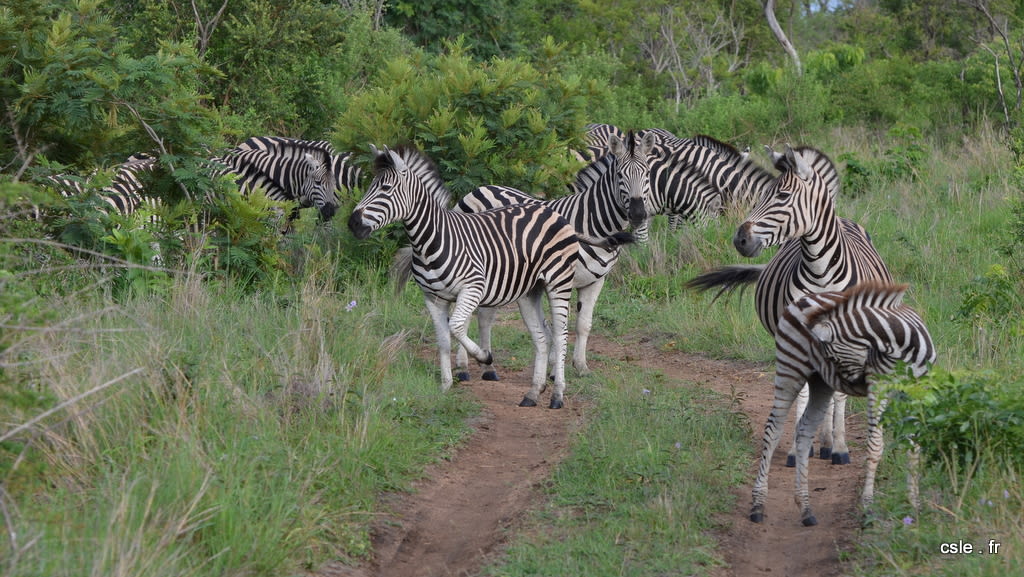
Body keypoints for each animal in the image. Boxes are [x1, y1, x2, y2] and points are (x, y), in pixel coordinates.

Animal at [348, 144, 630, 407]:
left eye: (385, 189)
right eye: (371, 186)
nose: (353, 223)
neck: (431, 240)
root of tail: (554, 213)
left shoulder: (472, 288)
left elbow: (456, 326)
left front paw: (483, 357)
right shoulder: (433, 298)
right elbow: (443, 339)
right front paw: (445, 386)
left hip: (558, 282)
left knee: (560, 335)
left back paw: (557, 394)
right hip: (530, 291)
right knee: (541, 337)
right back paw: (533, 393)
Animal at [454, 128, 659, 377]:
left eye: (647, 173)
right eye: (620, 175)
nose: (638, 214)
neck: (593, 223)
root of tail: (480, 188)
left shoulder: (596, 281)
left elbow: (583, 324)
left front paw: (580, 366)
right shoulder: (562, 278)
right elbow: (560, 324)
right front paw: (554, 368)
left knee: (485, 315)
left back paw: (487, 366)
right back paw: (463, 366)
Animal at [688, 146, 897, 467]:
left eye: (783, 196)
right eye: (762, 194)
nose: (740, 239)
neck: (821, 272)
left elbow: (838, 395)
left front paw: (839, 447)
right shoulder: (795, 333)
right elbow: (803, 392)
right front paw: (798, 448)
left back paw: (829, 443)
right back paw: (819, 441)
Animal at [749, 280, 933, 528]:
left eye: (830, 357)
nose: (856, 383)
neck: (903, 346)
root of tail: (803, 299)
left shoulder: (916, 392)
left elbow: (914, 445)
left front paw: (914, 506)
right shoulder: (879, 387)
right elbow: (875, 446)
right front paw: (867, 508)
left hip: (820, 383)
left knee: (804, 432)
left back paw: (806, 509)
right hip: (790, 369)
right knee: (773, 430)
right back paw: (758, 505)